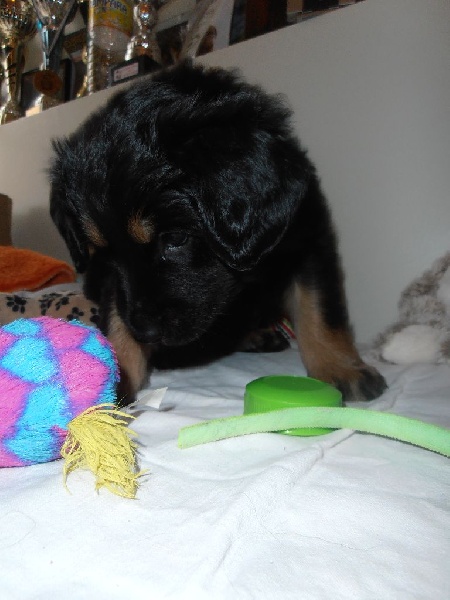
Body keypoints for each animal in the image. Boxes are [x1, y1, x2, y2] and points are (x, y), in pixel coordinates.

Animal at [49, 61, 387, 404]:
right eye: (105, 256)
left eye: (175, 239)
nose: (146, 333)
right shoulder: (112, 283)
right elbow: (116, 316)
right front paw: (112, 377)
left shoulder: (309, 240)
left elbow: (319, 310)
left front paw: (340, 367)